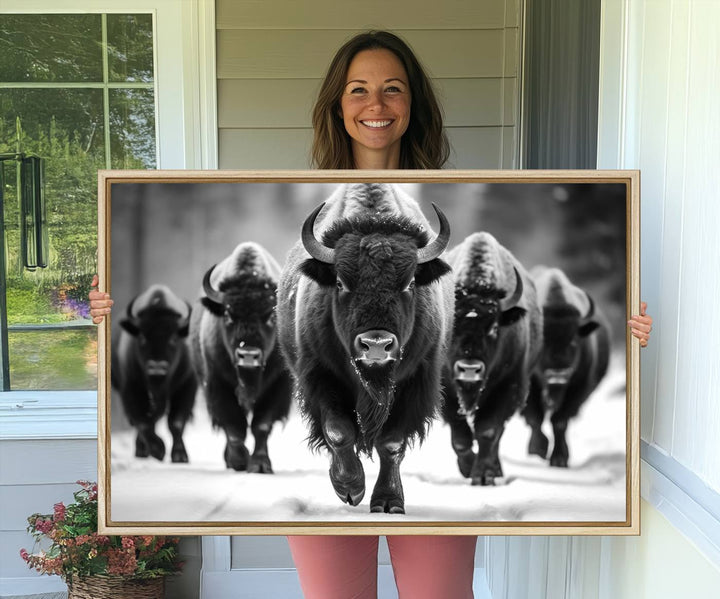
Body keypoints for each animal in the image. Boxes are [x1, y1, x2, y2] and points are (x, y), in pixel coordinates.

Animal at [110, 286, 195, 464]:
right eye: (142, 337)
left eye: (174, 338)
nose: (156, 367)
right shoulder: (131, 388)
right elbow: (142, 422)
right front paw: (158, 450)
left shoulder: (187, 385)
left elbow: (176, 422)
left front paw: (180, 456)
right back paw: (142, 450)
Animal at [191, 243, 296, 474]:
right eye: (228, 315)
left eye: (270, 316)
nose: (248, 355)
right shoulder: (217, 384)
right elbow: (234, 426)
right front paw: (239, 461)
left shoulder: (278, 386)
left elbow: (261, 425)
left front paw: (260, 465)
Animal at [278, 184, 452, 516]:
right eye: (340, 282)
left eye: (410, 283)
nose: (376, 345)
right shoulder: (321, 376)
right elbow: (338, 431)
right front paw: (350, 488)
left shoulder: (415, 382)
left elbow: (391, 443)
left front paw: (388, 502)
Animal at [442, 232, 544, 486]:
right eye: (452, 324)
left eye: (494, 327)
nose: (469, 369)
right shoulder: (447, 392)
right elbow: (461, 438)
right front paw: (468, 468)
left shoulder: (507, 387)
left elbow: (488, 431)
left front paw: (484, 475)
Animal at [520, 268, 612, 468]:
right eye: (543, 343)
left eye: (573, 342)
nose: (558, 375)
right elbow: (535, 418)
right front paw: (537, 449)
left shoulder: (578, 389)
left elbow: (560, 421)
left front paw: (560, 458)